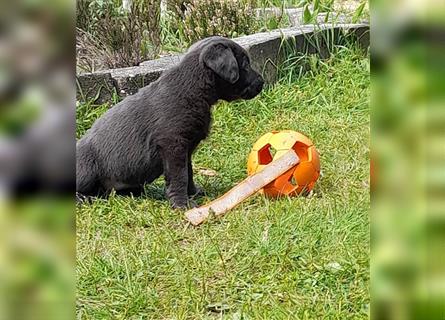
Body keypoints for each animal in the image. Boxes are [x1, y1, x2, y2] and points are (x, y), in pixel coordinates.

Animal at [76, 36, 264, 209]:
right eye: (245, 65)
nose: (261, 82)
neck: (192, 89)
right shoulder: (173, 146)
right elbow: (180, 177)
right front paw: (182, 204)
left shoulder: (185, 149)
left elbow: (188, 173)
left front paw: (194, 193)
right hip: (87, 169)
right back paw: (84, 199)